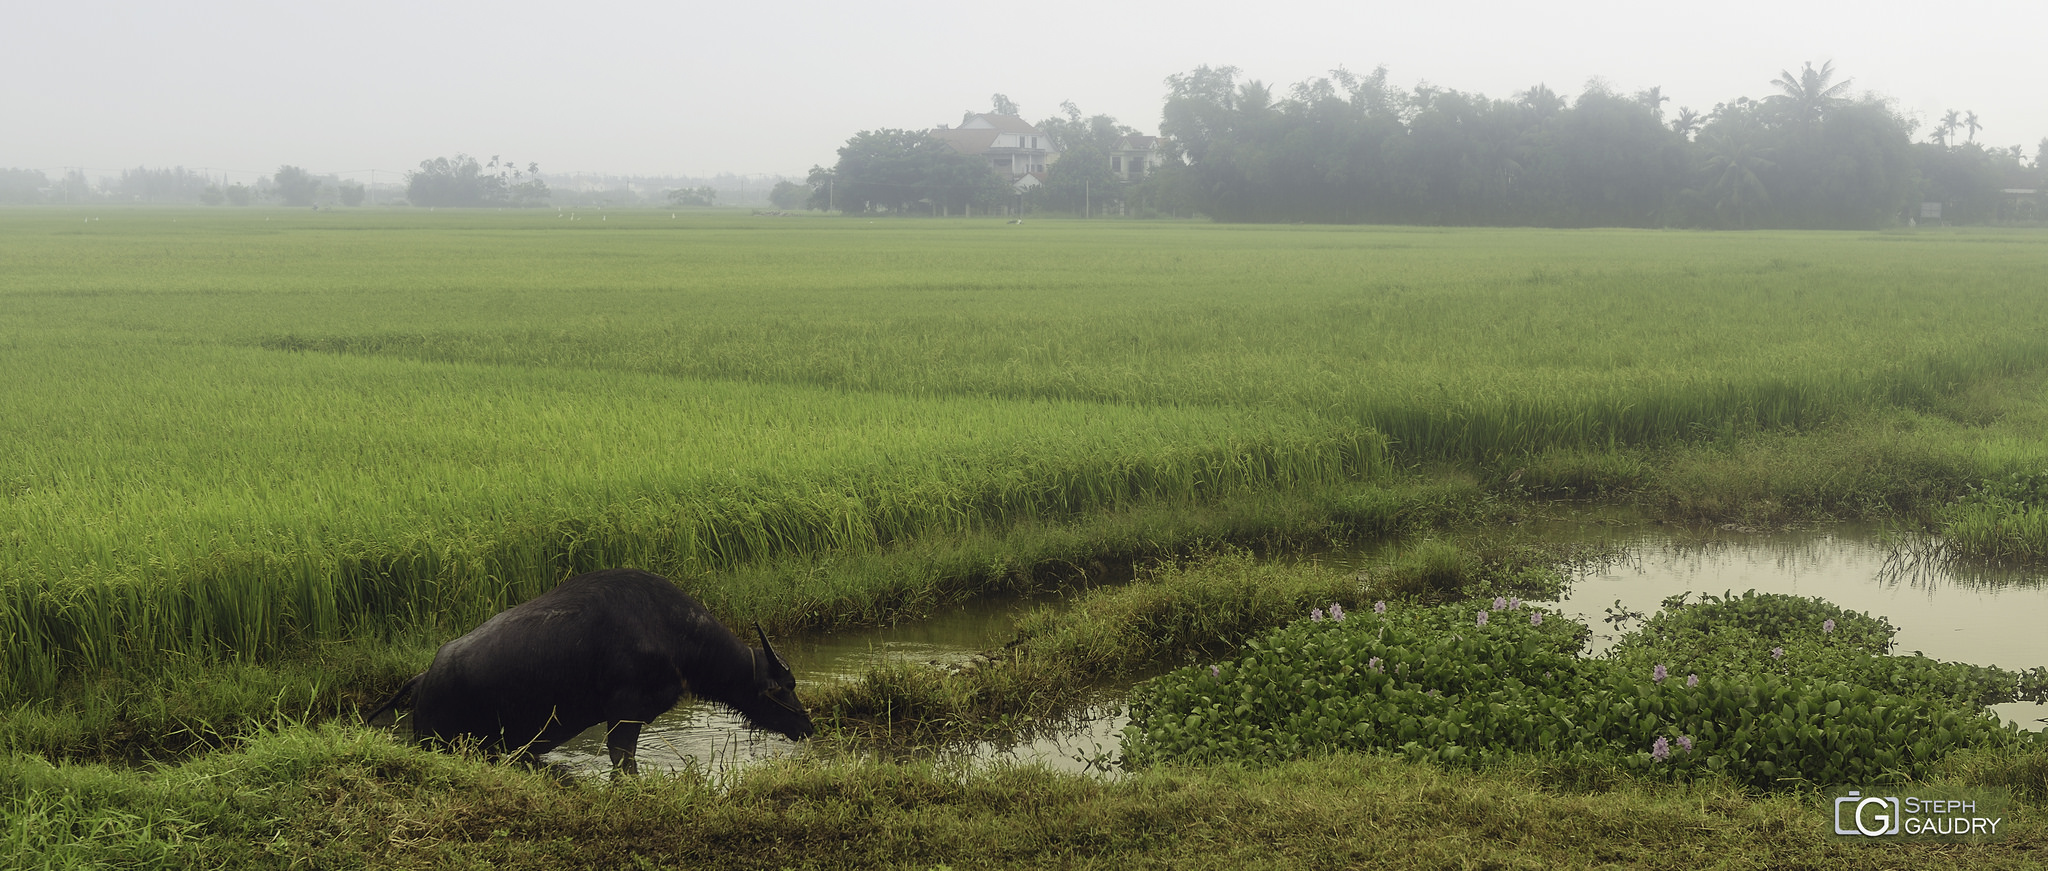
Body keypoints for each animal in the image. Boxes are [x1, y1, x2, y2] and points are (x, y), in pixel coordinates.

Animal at [364, 565, 811, 770]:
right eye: (783, 687)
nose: (806, 725)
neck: (671, 632)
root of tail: (423, 678)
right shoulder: (624, 715)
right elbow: (623, 761)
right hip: (439, 742)